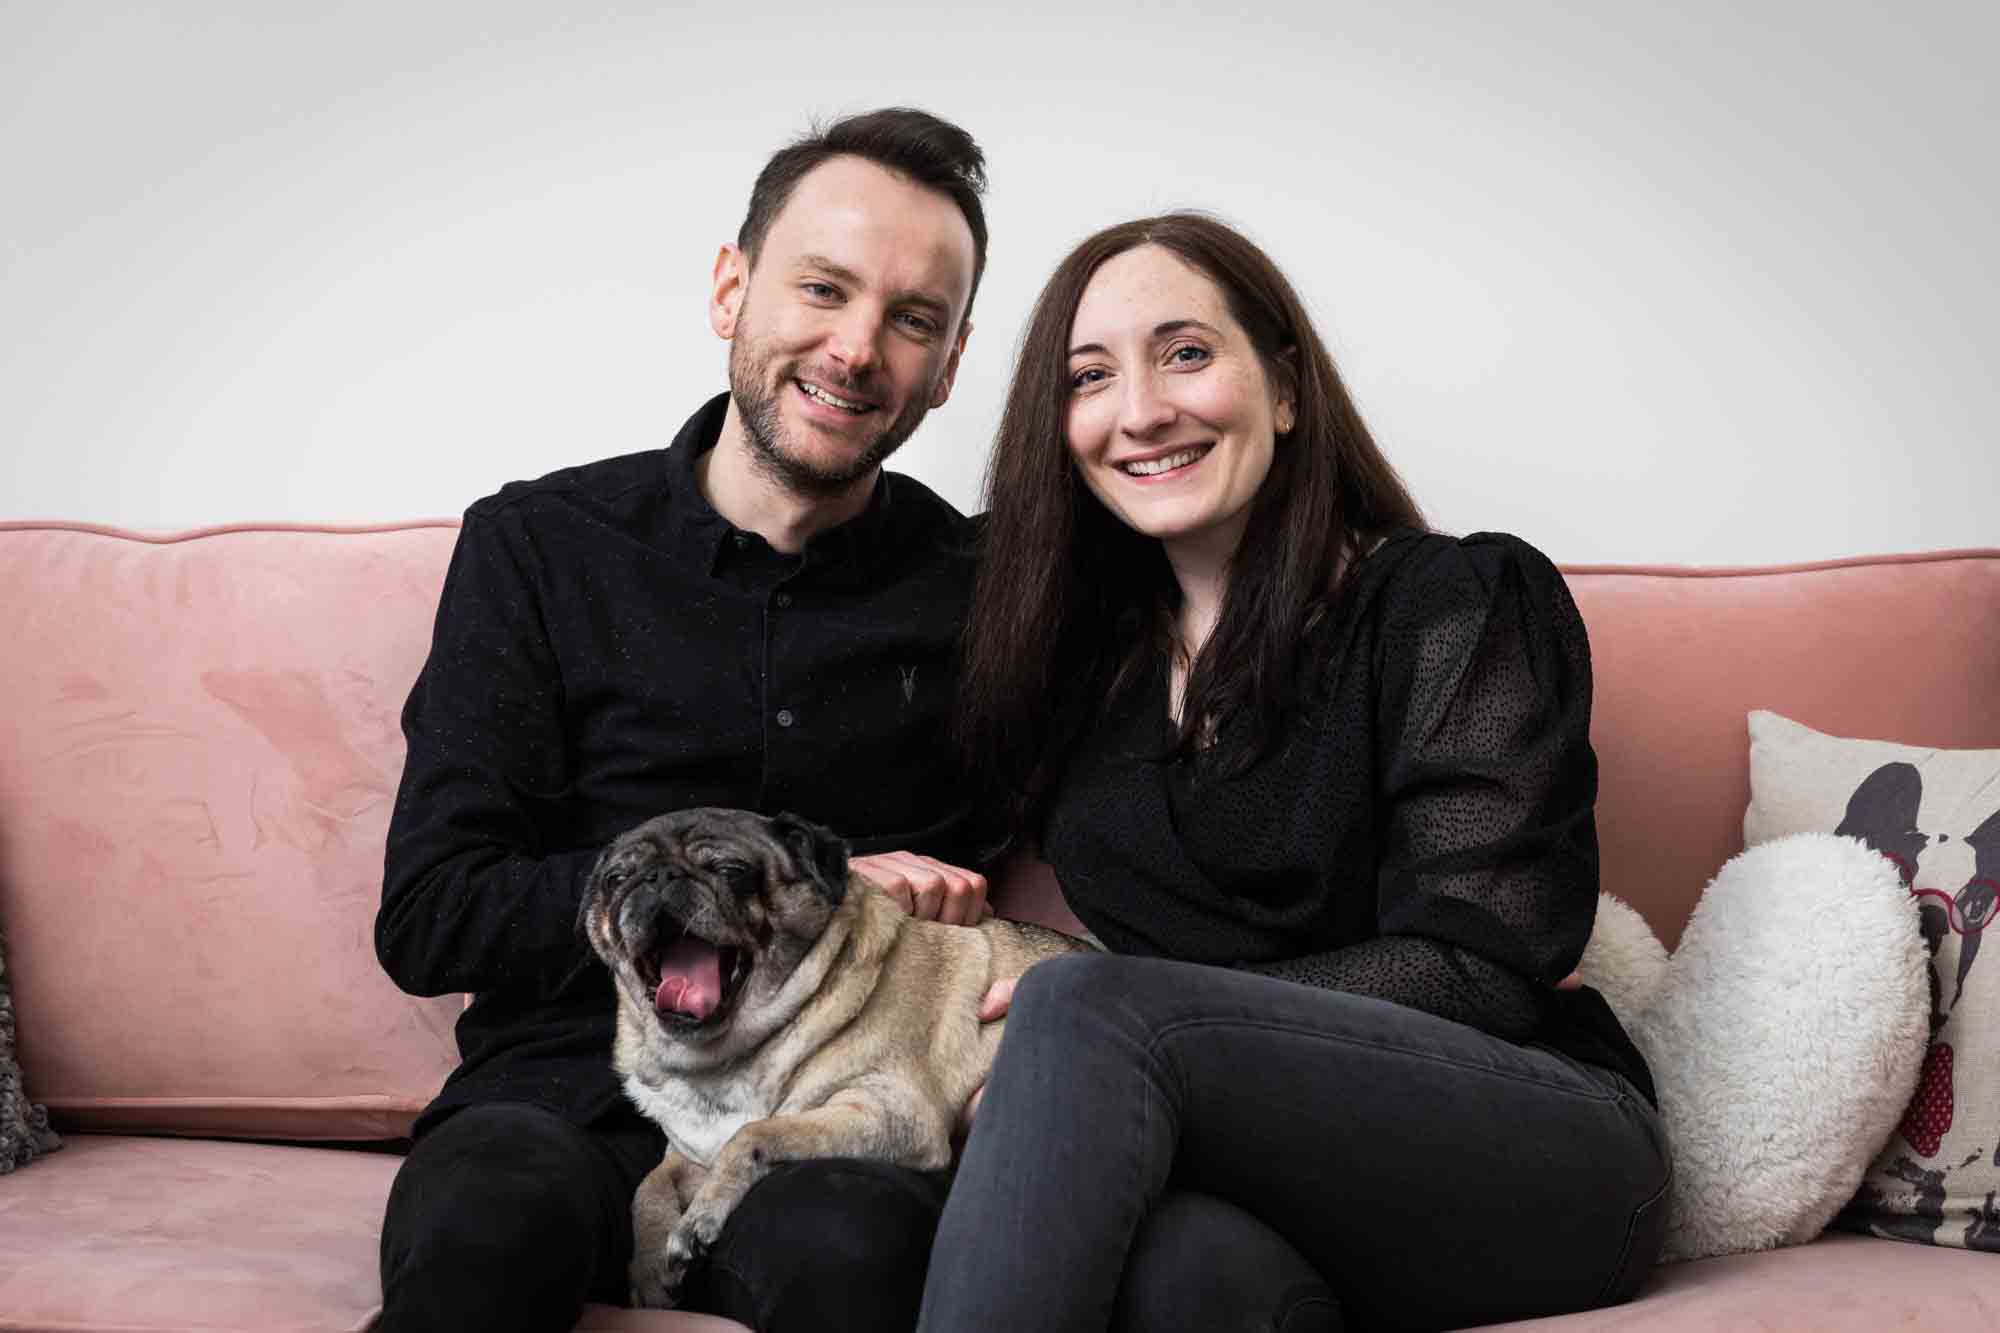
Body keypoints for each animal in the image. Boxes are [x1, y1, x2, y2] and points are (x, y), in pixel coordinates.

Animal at [580, 804, 1096, 1304]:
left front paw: (699, 1220)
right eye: (616, 879)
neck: (726, 1058)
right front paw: (649, 1267)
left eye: (731, 871)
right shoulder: (690, 1152)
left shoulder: (893, 1113)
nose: (657, 877)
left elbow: (754, 1133)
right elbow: (649, 1186)